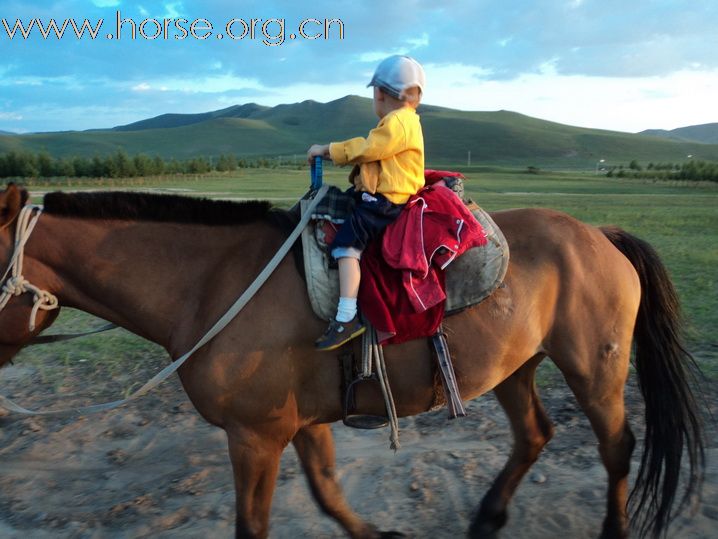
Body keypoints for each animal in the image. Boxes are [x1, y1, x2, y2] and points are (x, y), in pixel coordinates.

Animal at [0, 184, 704, 536]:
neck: (210, 283)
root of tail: (599, 234)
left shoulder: (254, 436)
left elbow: (255, 524)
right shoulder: (298, 423)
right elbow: (328, 492)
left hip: (594, 368)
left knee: (617, 447)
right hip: (515, 366)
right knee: (534, 434)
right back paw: (487, 517)